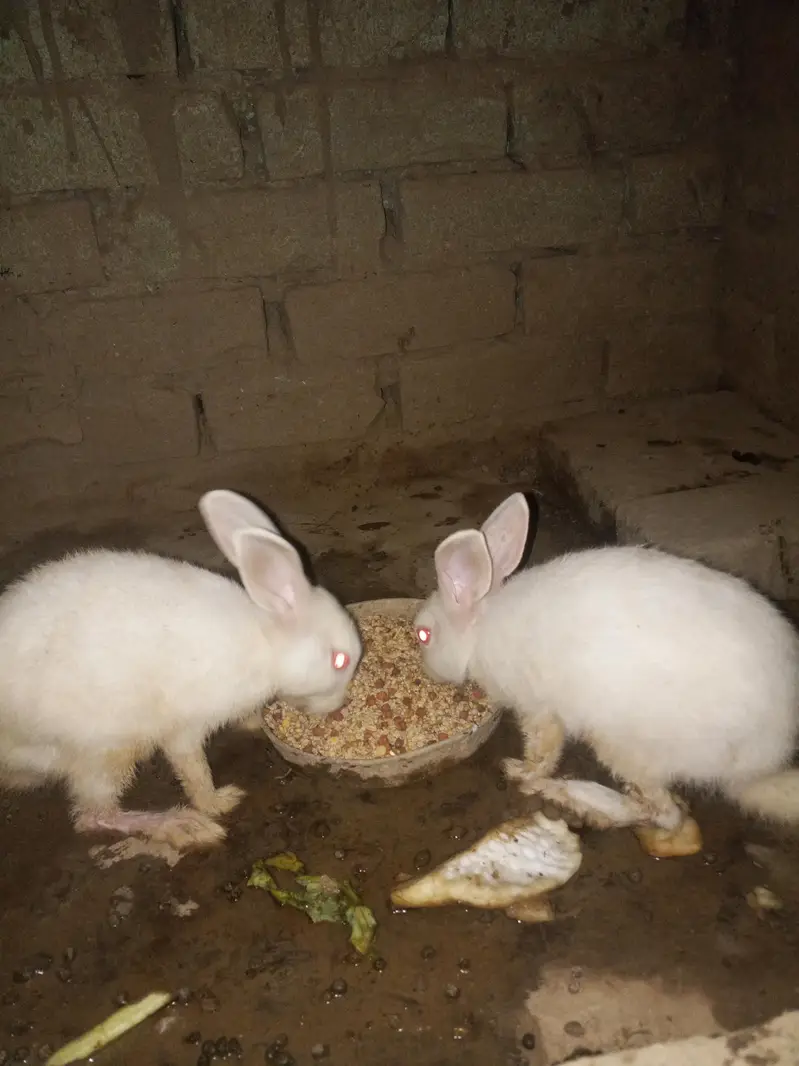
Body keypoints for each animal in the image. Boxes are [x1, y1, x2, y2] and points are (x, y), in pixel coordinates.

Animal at [0, 490, 362, 851]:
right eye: (339, 661)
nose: (339, 707)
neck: (266, 644)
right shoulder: (187, 727)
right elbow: (193, 768)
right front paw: (217, 802)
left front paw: (253, 722)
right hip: (104, 751)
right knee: (95, 815)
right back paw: (183, 825)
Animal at [413, 492, 799, 840]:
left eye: (423, 635)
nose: (426, 670)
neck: (480, 631)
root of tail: (759, 764)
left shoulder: (538, 708)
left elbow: (543, 750)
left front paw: (520, 772)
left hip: (624, 746)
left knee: (665, 815)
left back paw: (572, 796)